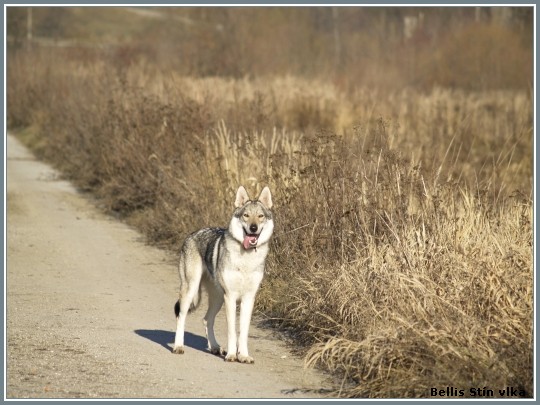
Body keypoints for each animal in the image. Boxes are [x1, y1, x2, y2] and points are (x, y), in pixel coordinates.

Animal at [173, 185, 274, 362]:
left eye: (260, 216)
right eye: (246, 215)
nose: (253, 228)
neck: (246, 258)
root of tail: (192, 234)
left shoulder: (248, 299)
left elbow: (243, 332)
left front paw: (244, 356)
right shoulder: (231, 297)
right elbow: (232, 331)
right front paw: (232, 355)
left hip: (218, 298)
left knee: (206, 320)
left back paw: (214, 347)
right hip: (191, 290)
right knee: (181, 316)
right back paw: (178, 346)